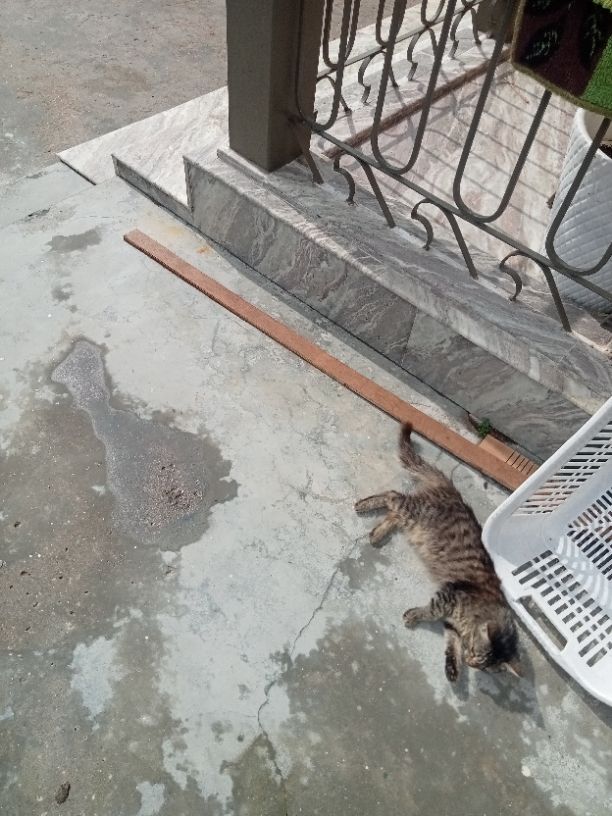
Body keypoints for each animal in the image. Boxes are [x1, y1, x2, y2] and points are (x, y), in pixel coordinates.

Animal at [355, 423, 522, 683]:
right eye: (476, 654)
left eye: (484, 667)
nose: (472, 664)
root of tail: (451, 491)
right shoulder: (448, 596)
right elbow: (431, 611)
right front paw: (414, 615)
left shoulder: (452, 623)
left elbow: (451, 644)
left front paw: (453, 669)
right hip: (414, 511)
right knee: (392, 496)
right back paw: (364, 505)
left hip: (412, 520)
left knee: (394, 513)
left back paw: (377, 532)